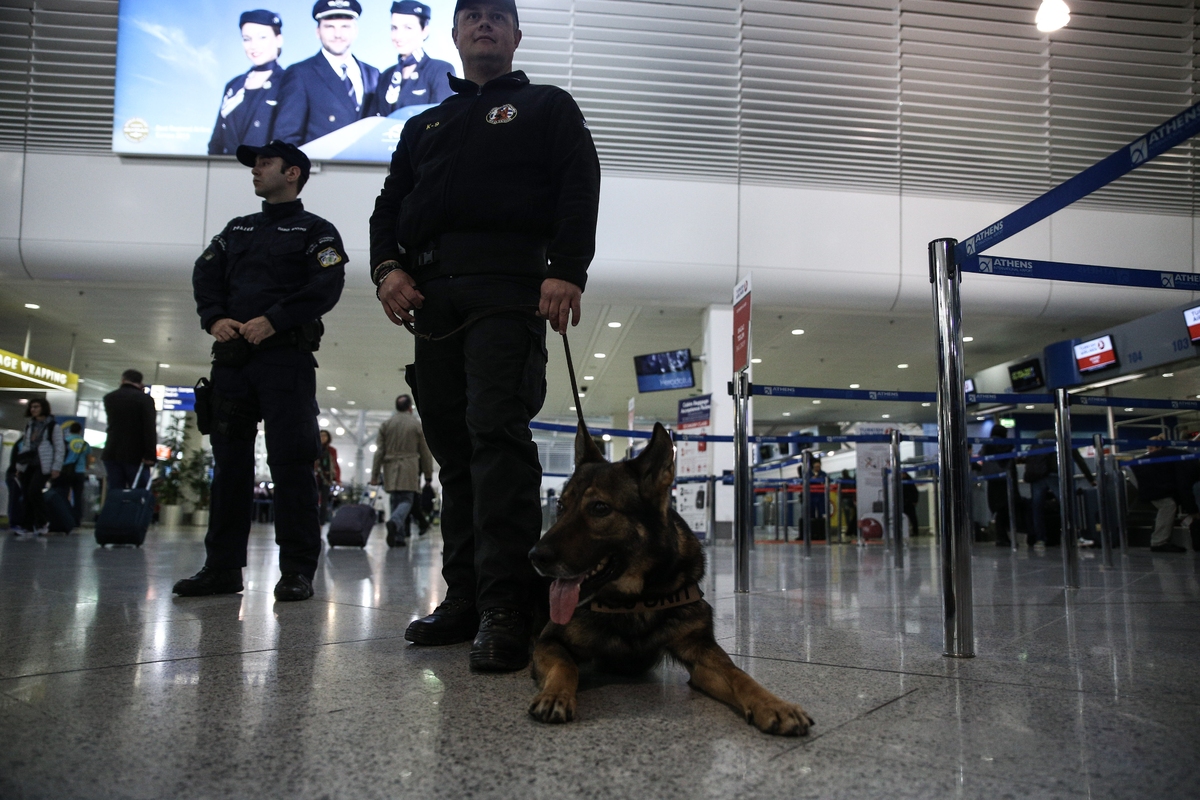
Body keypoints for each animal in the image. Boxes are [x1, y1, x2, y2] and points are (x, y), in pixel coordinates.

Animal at [528, 424, 816, 738]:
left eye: (600, 508)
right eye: (560, 505)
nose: (535, 556)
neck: (636, 599)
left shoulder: (701, 652)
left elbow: (739, 673)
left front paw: (773, 704)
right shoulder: (549, 641)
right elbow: (566, 666)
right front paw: (555, 694)